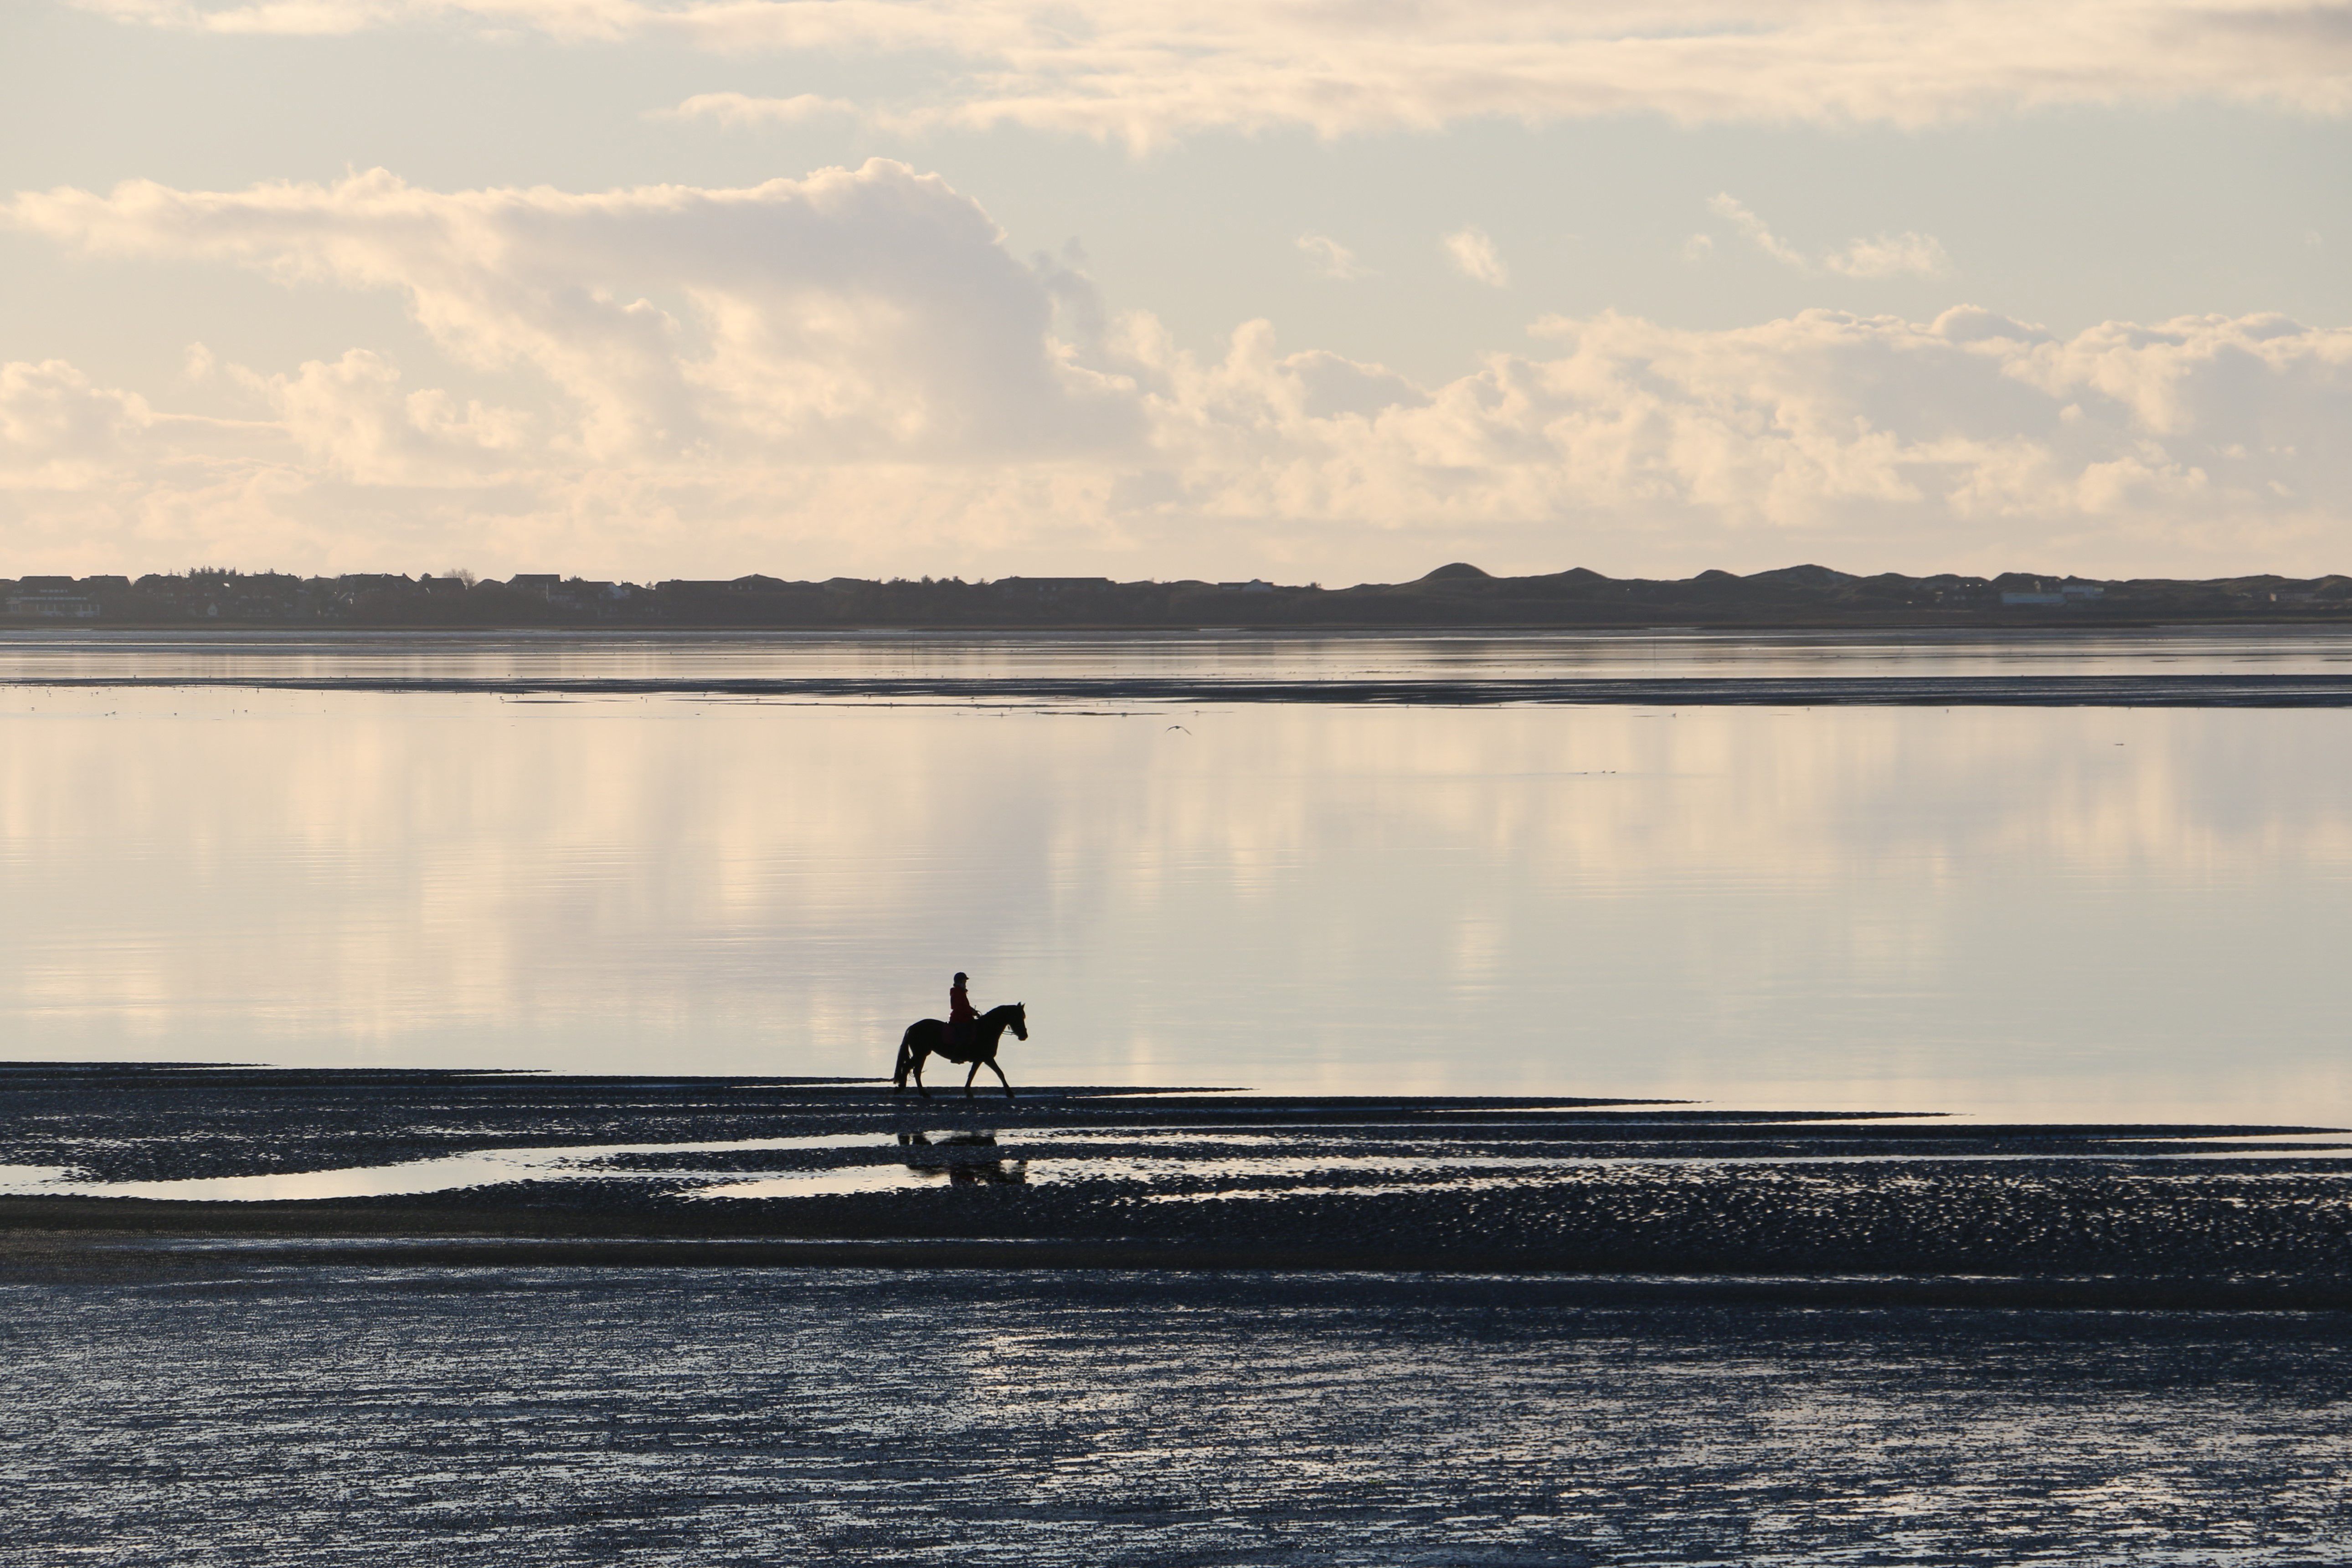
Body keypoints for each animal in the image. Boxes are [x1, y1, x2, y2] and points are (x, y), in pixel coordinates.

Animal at [884, 1001, 1025, 1100]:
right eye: (1018, 1017)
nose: (1024, 1036)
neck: (986, 1029)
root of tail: (913, 1027)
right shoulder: (987, 1058)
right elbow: (1000, 1073)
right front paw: (1010, 1093)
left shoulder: (980, 1059)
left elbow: (972, 1074)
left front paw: (968, 1092)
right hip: (921, 1053)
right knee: (912, 1069)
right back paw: (913, 1091)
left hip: (922, 1054)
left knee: (914, 1070)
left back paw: (913, 1091)